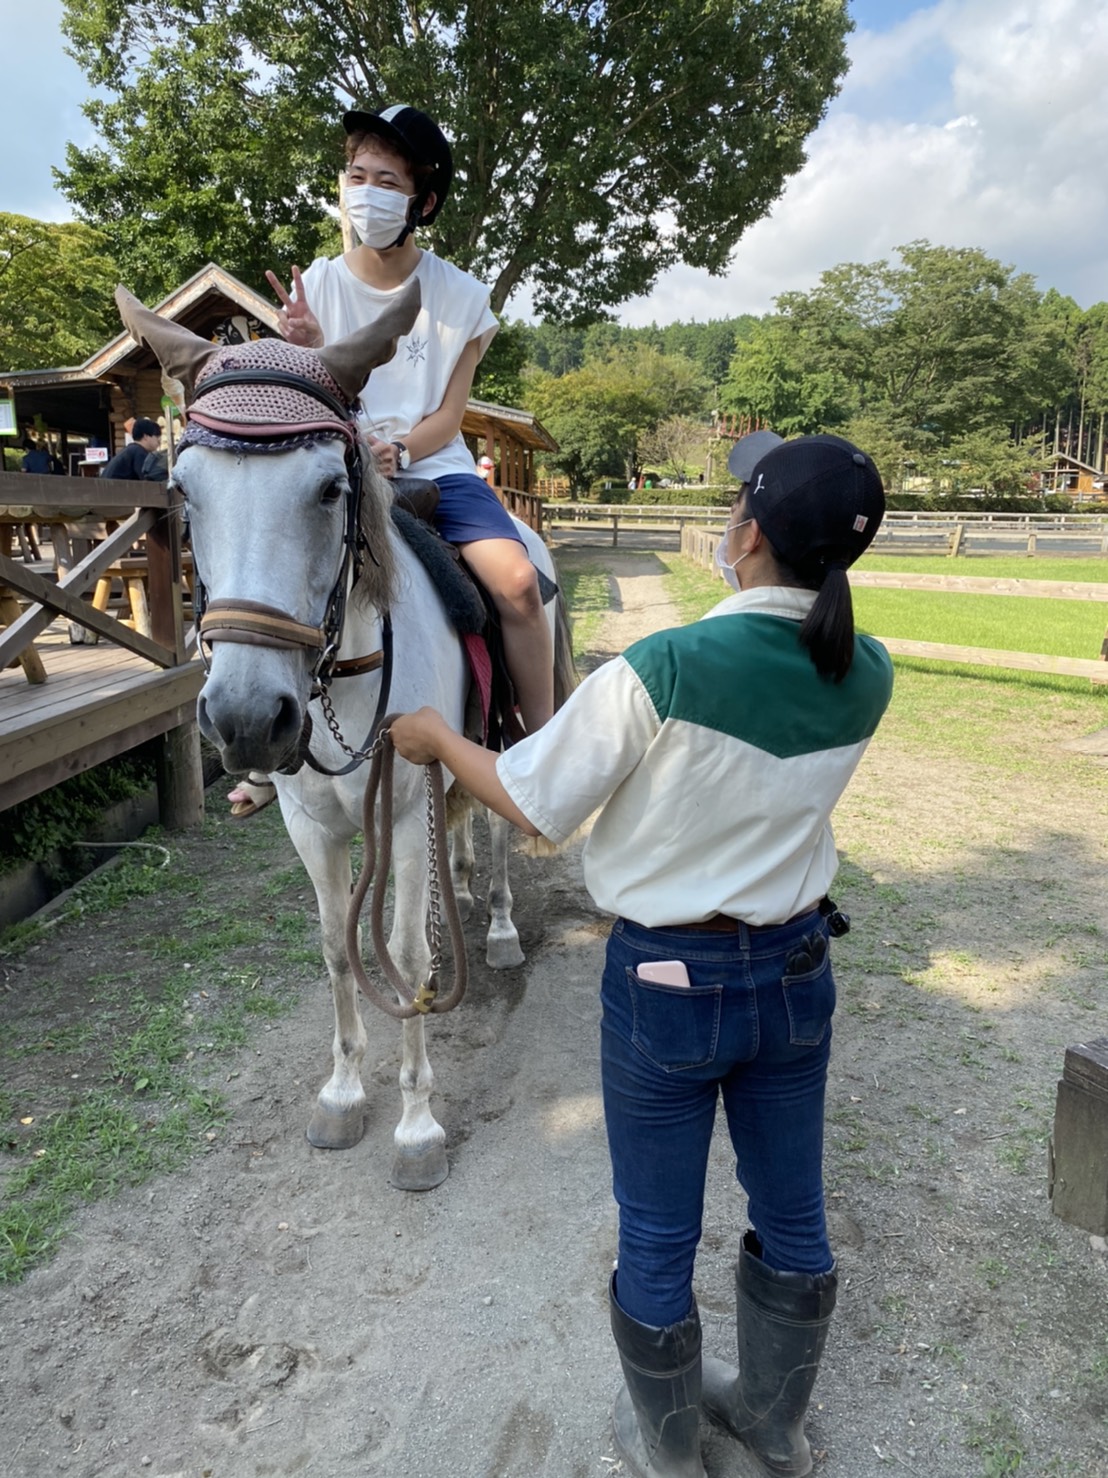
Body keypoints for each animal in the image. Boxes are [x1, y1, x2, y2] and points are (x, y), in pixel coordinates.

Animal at [115, 283, 576, 1191]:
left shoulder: (398, 808)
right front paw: (341, 1092)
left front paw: (417, 1125)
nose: (248, 720)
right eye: (183, 491)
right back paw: (457, 885)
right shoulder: (314, 824)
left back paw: (500, 928)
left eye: (331, 487)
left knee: (497, 833)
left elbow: (405, 956)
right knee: (456, 839)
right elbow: (337, 948)